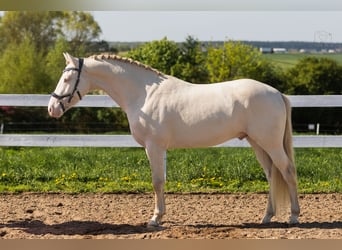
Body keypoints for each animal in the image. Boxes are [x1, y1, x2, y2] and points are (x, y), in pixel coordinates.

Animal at [47, 52, 300, 227]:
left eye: (67, 77)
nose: (52, 108)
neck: (143, 94)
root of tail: (277, 93)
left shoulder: (154, 147)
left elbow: (157, 181)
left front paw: (155, 218)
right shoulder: (157, 149)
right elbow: (161, 181)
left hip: (270, 143)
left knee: (287, 171)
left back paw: (294, 216)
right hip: (257, 143)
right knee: (271, 175)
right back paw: (267, 217)